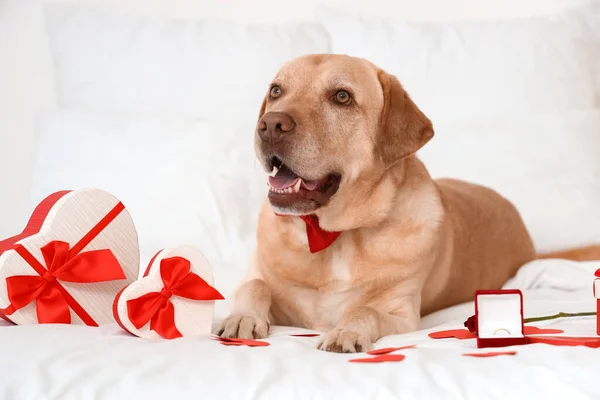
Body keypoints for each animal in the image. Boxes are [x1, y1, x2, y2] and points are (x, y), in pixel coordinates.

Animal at [218, 54, 600, 354]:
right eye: (276, 90)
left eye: (342, 97)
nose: (270, 124)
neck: (335, 238)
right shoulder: (278, 294)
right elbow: (254, 285)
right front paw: (241, 317)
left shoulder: (403, 315)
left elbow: (365, 311)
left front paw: (346, 331)